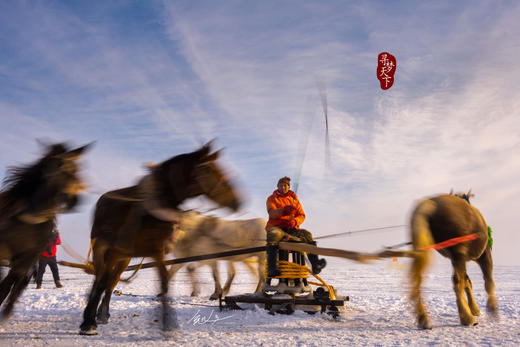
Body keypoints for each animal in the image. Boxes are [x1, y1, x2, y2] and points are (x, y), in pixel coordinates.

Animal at [0, 143, 90, 320]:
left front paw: (6, 313)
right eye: (59, 166)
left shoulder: (25, 261)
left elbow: (11, 287)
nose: (75, 200)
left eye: (77, 169)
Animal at [79, 143, 242, 336]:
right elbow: (100, 283)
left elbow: (164, 283)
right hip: (105, 252)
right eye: (208, 169)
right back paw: (92, 315)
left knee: (111, 282)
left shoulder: (156, 251)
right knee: (101, 280)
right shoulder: (108, 250)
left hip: (123, 258)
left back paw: (103, 313)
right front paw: (88, 323)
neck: (151, 211)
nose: (237, 200)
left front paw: (168, 325)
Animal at [408, 194, 498, 330]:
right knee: (458, 282)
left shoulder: (456, 259)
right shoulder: (484, 255)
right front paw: (490, 308)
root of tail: (429, 203)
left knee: (417, 280)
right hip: (459, 252)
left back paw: (423, 319)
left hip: (427, 250)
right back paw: (467, 318)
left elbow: (468, 282)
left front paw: (474, 308)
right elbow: (488, 281)